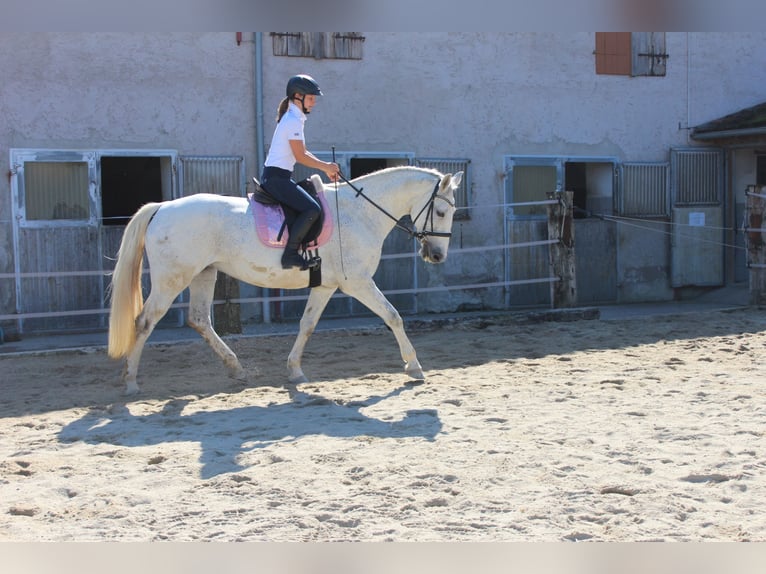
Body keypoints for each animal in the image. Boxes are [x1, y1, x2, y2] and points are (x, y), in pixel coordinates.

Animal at [109, 164, 464, 394]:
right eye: (442, 213)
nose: (437, 256)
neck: (360, 214)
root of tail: (162, 208)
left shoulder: (325, 286)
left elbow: (307, 325)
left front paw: (295, 371)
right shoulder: (358, 282)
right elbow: (393, 316)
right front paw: (414, 366)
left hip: (204, 274)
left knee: (199, 320)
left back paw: (236, 369)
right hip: (172, 280)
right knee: (144, 322)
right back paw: (130, 381)